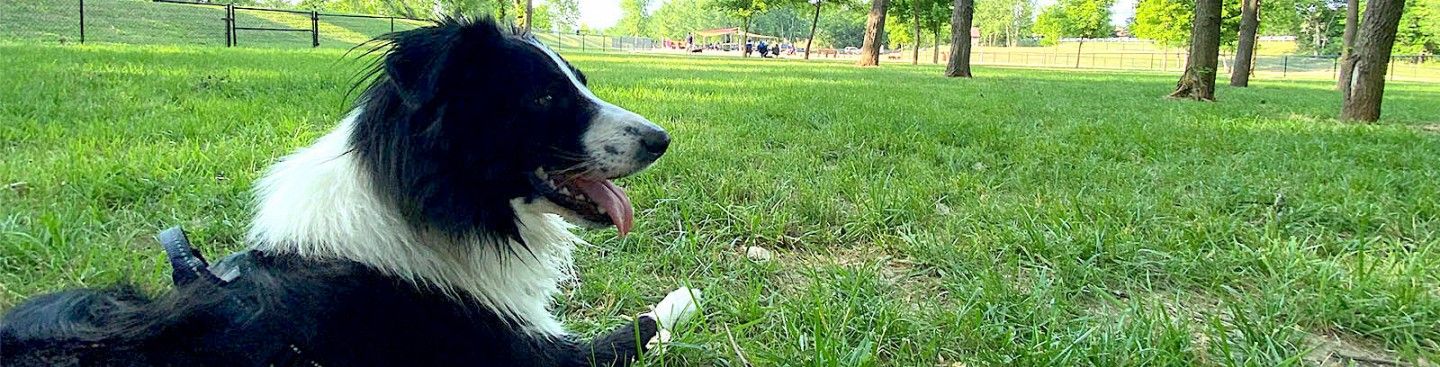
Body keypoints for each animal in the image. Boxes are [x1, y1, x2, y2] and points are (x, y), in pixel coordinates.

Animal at [0, 15, 696, 365]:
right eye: (545, 97)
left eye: (578, 80)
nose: (662, 139)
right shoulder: (532, 357)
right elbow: (638, 326)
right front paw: (683, 295)